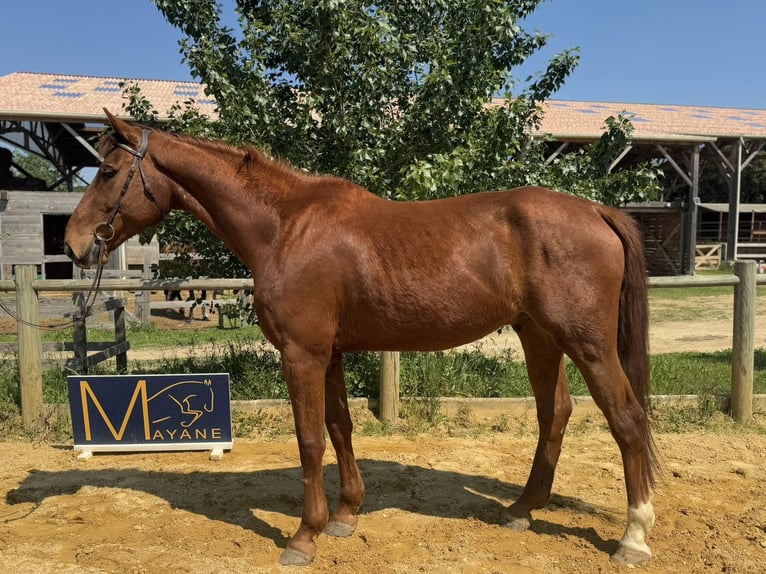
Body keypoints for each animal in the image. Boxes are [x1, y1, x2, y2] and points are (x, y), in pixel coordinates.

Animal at [64, 109, 658, 567]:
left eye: (108, 171)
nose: (72, 243)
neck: (285, 226)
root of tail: (596, 210)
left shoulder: (302, 354)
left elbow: (309, 440)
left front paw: (304, 536)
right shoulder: (329, 354)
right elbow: (340, 427)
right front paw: (346, 514)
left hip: (587, 344)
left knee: (626, 419)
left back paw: (632, 538)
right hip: (539, 336)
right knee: (554, 413)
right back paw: (521, 510)